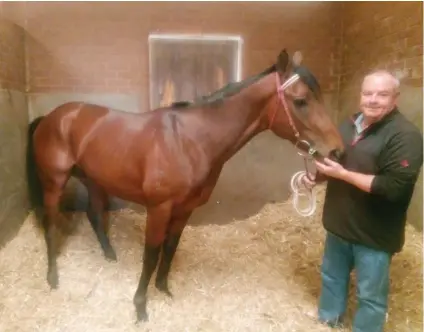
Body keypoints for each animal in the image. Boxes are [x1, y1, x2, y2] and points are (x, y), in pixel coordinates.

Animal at [25, 48, 344, 322]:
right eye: (301, 101)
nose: (337, 151)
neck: (190, 140)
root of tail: (51, 117)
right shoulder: (159, 209)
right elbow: (151, 254)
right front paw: (140, 306)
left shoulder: (185, 209)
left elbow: (170, 247)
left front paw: (163, 289)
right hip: (54, 183)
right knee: (50, 224)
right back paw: (52, 277)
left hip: (93, 180)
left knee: (94, 215)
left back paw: (109, 255)